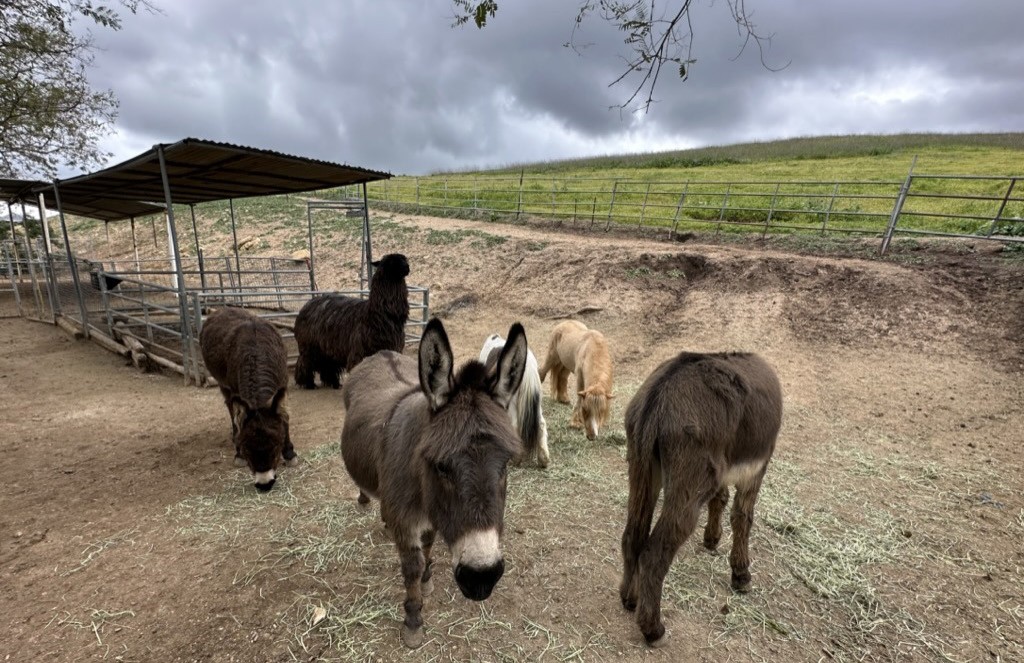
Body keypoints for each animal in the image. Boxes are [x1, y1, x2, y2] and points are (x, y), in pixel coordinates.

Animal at [340, 317, 528, 648]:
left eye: (505, 464)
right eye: (441, 466)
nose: (481, 579)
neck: (422, 487)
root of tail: (381, 354)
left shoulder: (430, 515)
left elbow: (427, 545)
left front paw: (427, 579)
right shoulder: (406, 521)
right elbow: (411, 567)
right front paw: (414, 618)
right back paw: (364, 499)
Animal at [618, 351, 782, 647]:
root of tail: (659, 397)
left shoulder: (725, 471)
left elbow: (720, 500)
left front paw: (711, 539)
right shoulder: (756, 469)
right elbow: (743, 518)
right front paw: (741, 575)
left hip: (642, 466)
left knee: (632, 536)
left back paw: (630, 599)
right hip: (690, 480)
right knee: (655, 553)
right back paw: (653, 629)